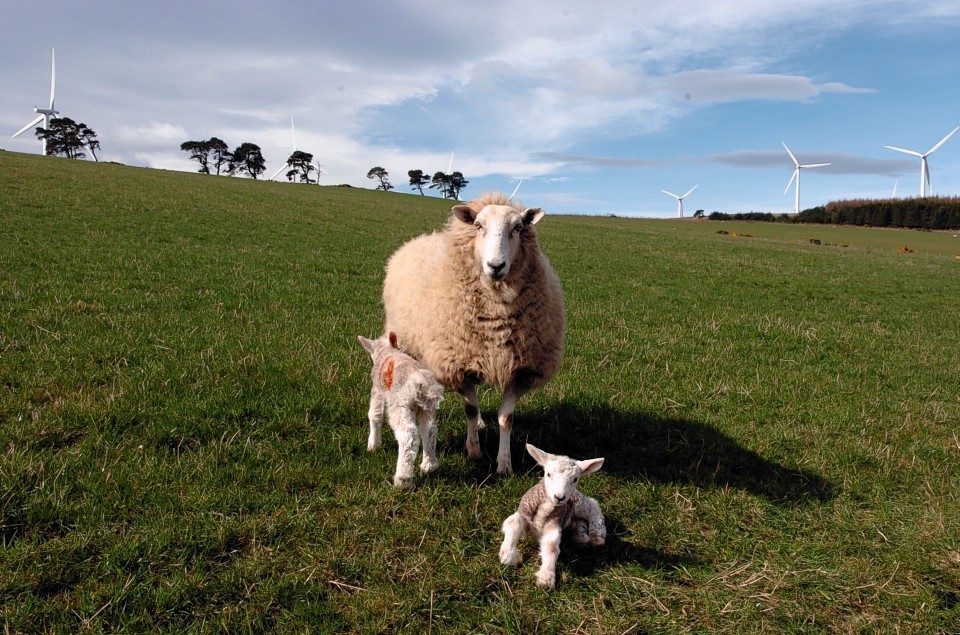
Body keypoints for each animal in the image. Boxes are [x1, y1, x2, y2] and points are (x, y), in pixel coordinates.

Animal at [358, 330, 444, 490]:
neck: (386, 351)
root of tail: (419, 381)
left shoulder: (377, 390)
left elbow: (375, 415)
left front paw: (373, 445)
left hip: (399, 404)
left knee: (408, 435)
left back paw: (403, 479)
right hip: (427, 406)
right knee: (429, 429)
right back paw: (429, 465)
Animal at [380, 191, 564, 474]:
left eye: (518, 227)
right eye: (478, 226)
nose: (496, 265)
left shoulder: (521, 370)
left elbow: (506, 418)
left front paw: (504, 464)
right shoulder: (459, 363)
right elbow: (470, 408)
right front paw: (474, 451)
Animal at [498, 444, 604, 588]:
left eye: (575, 479)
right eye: (548, 474)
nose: (559, 497)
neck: (546, 506)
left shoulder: (554, 523)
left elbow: (551, 545)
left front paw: (546, 577)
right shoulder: (524, 513)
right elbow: (513, 523)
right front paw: (509, 556)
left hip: (576, 501)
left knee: (592, 505)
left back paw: (597, 536)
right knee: (580, 519)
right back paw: (581, 537)